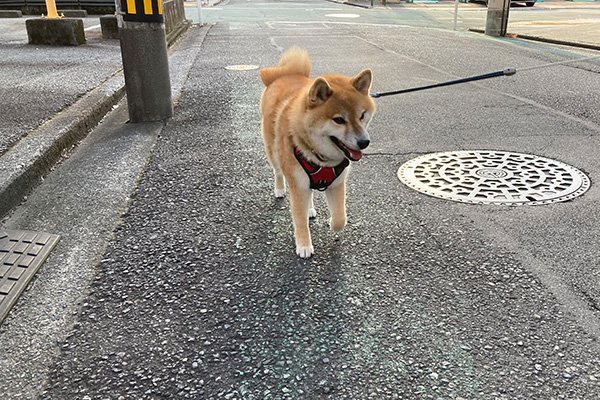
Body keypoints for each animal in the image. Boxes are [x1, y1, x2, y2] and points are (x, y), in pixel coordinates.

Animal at [258, 47, 376, 260]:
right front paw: (304, 245)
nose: (364, 142)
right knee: (278, 171)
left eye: (362, 115)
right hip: (273, 152)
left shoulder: (337, 183)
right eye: (339, 120)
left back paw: (310, 208)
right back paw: (279, 189)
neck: (323, 160)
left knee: (310, 192)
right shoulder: (297, 185)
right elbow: (299, 220)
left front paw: (332, 224)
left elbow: (340, 218)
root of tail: (283, 75)